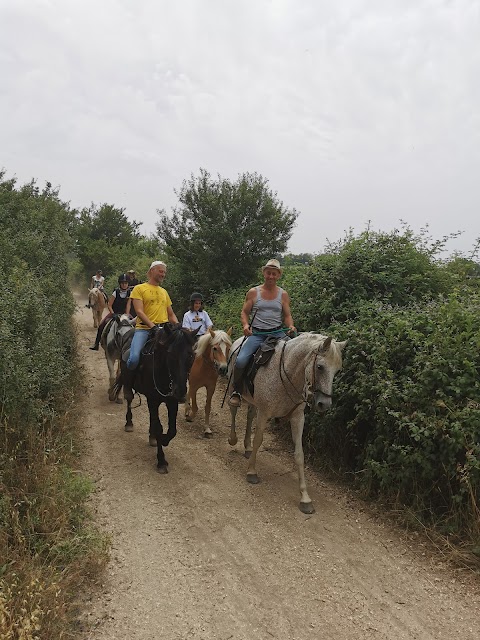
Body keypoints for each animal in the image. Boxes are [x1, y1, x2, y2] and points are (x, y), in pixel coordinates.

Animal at [113, 322, 198, 472]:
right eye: (170, 354)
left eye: (191, 355)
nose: (180, 392)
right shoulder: (153, 399)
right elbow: (159, 428)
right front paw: (161, 460)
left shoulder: (172, 401)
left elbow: (172, 430)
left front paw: (163, 440)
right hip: (131, 383)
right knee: (129, 398)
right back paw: (129, 423)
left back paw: (151, 436)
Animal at [228, 332, 344, 512]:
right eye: (320, 367)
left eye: (337, 370)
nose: (324, 404)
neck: (288, 373)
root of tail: (239, 339)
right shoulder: (265, 412)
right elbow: (258, 440)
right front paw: (252, 472)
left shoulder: (297, 417)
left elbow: (299, 454)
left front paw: (305, 498)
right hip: (236, 389)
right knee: (233, 409)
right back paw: (233, 438)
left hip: (254, 401)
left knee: (249, 415)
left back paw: (246, 448)